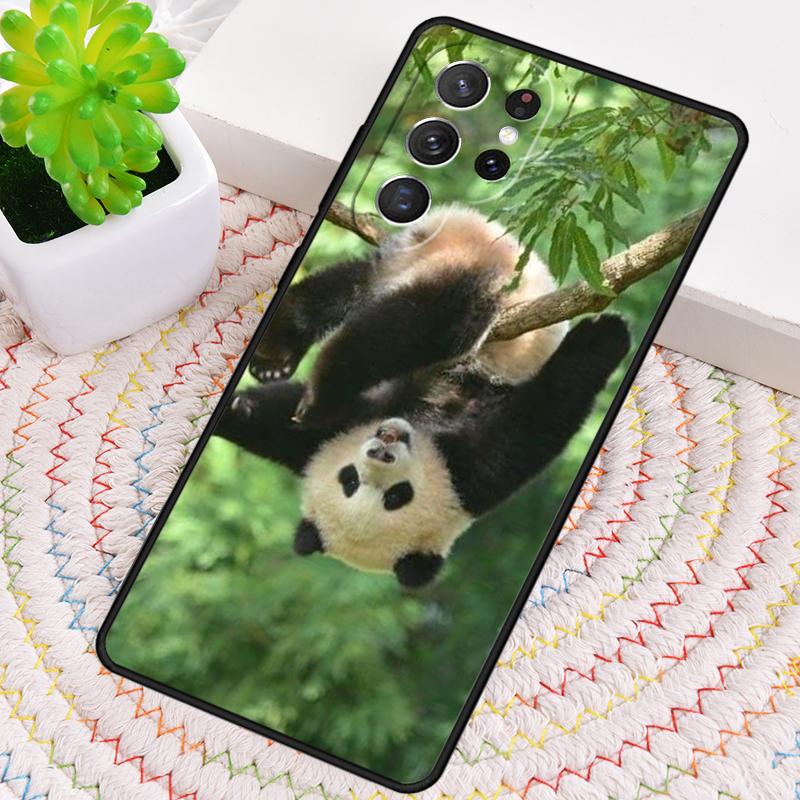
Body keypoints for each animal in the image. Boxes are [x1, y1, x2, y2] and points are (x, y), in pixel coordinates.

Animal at [215, 206, 630, 587]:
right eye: (349, 481)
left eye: (397, 496)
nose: (384, 443)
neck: (424, 428)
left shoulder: (469, 471)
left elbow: (533, 422)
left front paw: (605, 337)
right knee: (406, 318)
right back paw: (289, 366)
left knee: (385, 305)